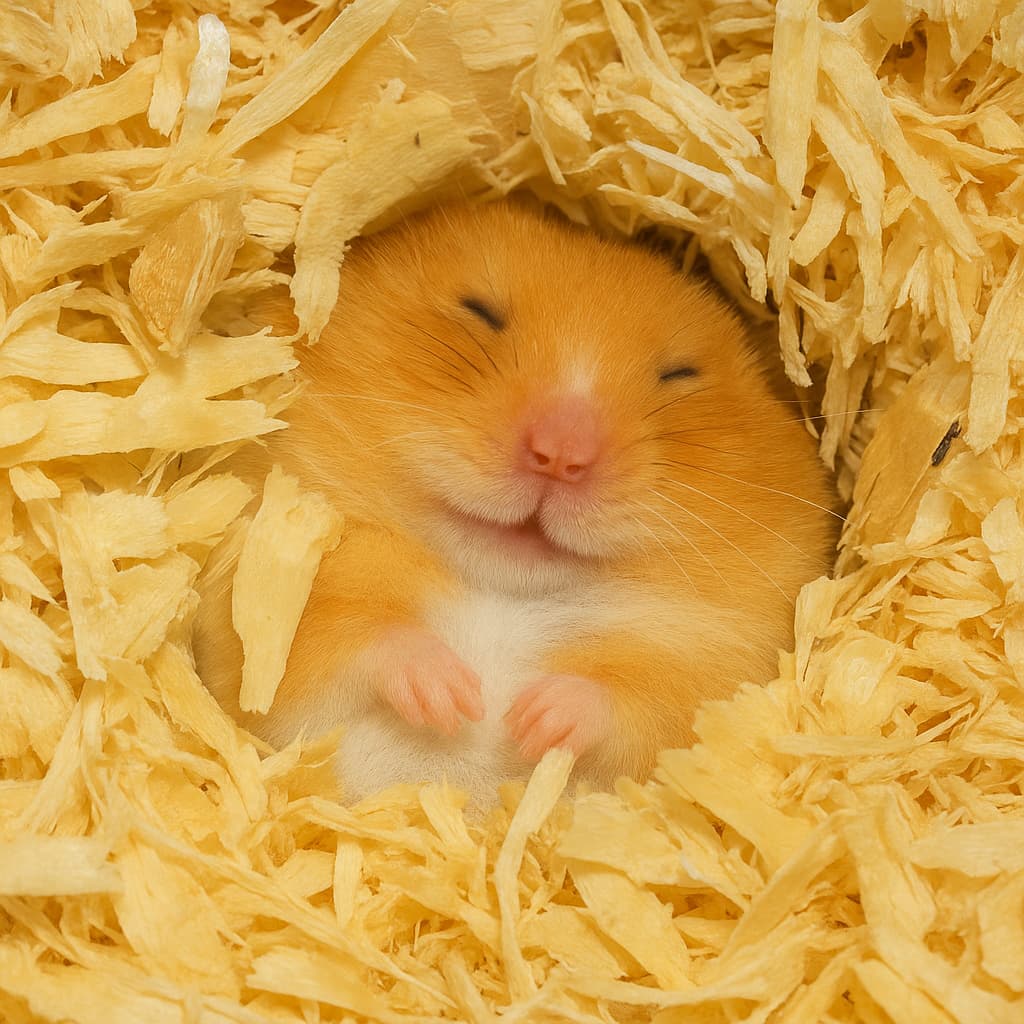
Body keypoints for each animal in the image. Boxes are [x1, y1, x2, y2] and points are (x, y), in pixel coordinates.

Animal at [193, 200, 837, 808]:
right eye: (479, 311)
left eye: (681, 374)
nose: (560, 454)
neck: (504, 588)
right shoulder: (273, 614)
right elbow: (342, 641)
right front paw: (452, 698)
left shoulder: (711, 666)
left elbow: (648, 706)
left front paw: (533, 719)